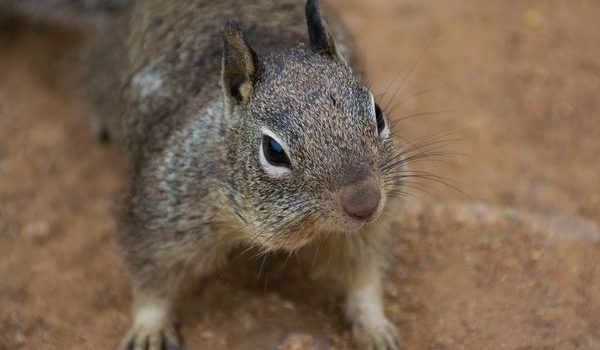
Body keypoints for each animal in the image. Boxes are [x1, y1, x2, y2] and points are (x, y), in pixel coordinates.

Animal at [2, 0, 406, 350]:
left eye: (378, 113)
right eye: (274, 151)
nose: (365, 203)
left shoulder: (376, 215)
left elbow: (365, 270)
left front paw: (374, 324)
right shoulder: (158, 209)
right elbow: (149, 274)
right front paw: (149, 328)